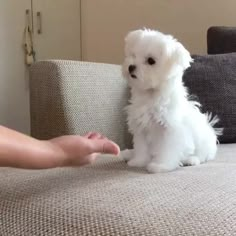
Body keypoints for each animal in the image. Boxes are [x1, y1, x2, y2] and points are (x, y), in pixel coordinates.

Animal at [121, 29, 222, 173]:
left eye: (151, 61)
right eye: (133, 55)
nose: (131, 67)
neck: (151, 94)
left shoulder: (171, 130)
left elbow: (167, 150)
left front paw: (160, 165)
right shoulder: (141, 128)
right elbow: (141, 148)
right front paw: (139, 161)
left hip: (203, 142)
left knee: (202, 156)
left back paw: (191, 160)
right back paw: (129, 153)